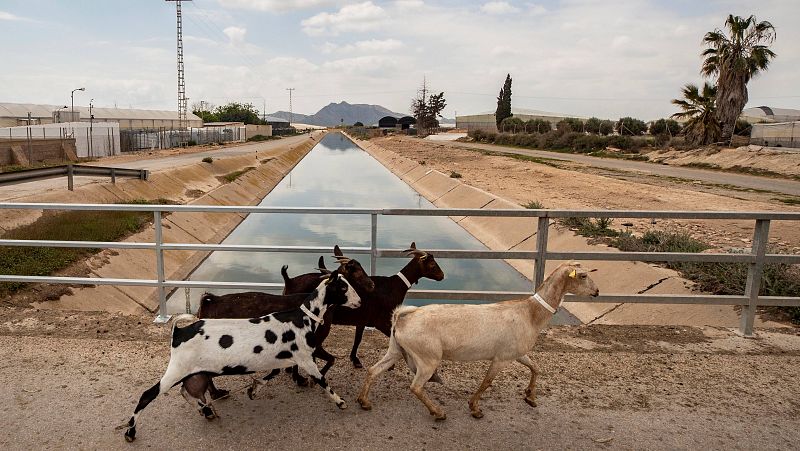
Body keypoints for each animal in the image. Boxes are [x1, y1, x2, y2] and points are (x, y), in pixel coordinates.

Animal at [358, 264, 600, 422]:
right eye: (583, 275)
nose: (597, 291)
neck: (530, 313)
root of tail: (402, 318)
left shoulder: (517, 352)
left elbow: (536, 368)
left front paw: (530, 397)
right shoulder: (501, 358)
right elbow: (486, 382)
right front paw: (474, 408)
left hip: (396, 349)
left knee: (373, 370)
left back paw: (364, 401)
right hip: (428, 357)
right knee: (416, 386)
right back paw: (438, 412)